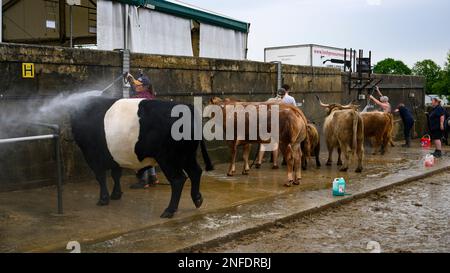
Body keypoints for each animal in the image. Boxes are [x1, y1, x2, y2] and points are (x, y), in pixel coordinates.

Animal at [69, 95, 214, 217]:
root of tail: (188, 107)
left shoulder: (92, 155)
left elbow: (101, 177)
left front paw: (103, 199)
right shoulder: (115, 156)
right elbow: (116, 174)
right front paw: (116, 195)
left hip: (168, 158)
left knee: (178, 180)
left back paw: (169, 210)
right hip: (187, 155)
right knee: (195, 172)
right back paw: (197, 199)